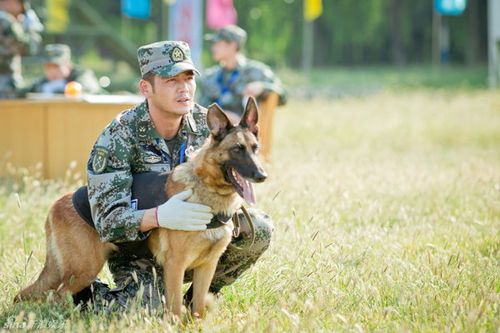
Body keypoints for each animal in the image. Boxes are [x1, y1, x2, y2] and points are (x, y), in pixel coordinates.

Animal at [13, 96, 268, 316]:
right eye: (237, 149)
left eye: (255, 148)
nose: (262, 175)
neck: (207, 190)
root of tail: (57, 203)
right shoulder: (175, 266)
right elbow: (175, 309)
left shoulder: (206, 267)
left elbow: (197, 309)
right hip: (83, 269)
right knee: (55, 296)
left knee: (29, 295)